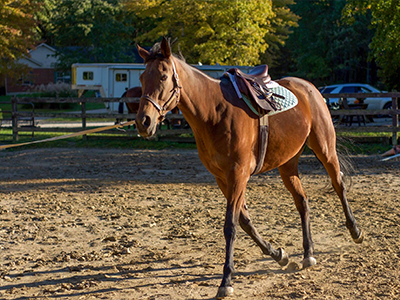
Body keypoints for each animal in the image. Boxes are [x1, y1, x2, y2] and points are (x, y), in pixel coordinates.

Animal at [134, 38, 362, 298]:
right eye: (142, 78)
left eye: (163, 76)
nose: (143, 122)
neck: (214, 113)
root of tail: (309, 88)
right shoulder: (222, 178)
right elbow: (244, 221)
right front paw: (279, 255)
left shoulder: (238, 174)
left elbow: (231, 226)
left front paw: (226, 280)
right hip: (287, 164)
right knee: (302, 202)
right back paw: (308, 254)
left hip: (325, 149)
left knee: (338, 185)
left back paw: (355, 231)